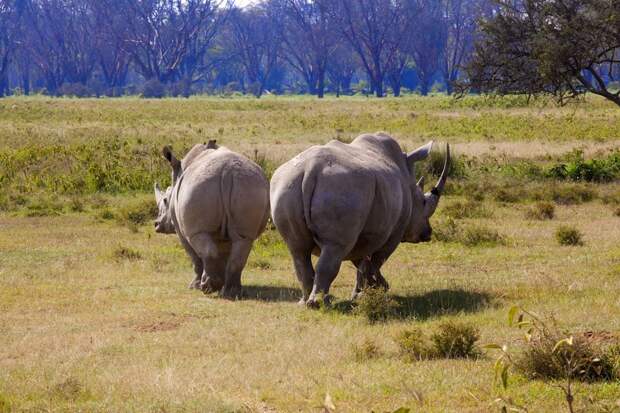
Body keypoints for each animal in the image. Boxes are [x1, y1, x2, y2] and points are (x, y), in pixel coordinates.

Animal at [153, 140, 268, 298]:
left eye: (165, 200)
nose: (156, 224)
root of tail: (227, 173)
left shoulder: (182, 230)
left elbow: (194, 257)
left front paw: (194, 286)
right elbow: (224, 254)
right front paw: (220, 284)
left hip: (198, 188)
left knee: (203, 244)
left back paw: (207, 287)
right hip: (249, 186)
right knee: (243, 241)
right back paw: (231, 292)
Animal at [268, 132, 448, 306]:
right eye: (423, 202)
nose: (427, 233)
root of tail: (311, 169)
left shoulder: (365, 232)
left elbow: (361, 263)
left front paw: (373, 289)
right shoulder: (394, 232)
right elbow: (375, 261)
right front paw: (370, 292)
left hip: (286, 186)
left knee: (298, 250)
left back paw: (304, 302)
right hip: (344, 189)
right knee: (334, 248)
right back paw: (319, 303)